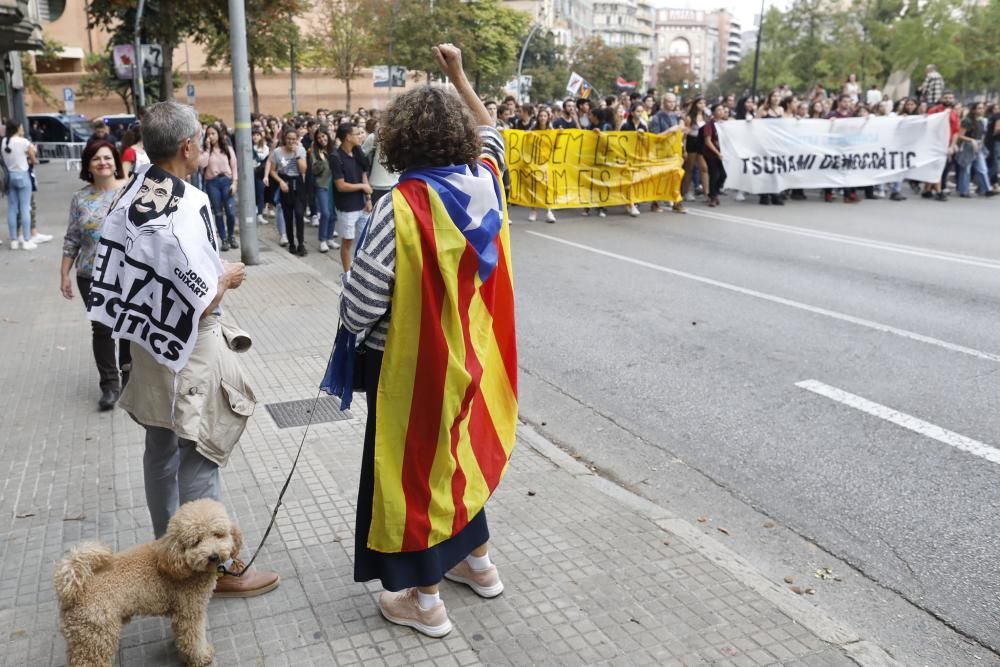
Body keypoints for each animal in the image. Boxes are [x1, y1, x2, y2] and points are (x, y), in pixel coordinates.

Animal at [53, 498, 242, 664]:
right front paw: (201, 657)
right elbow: (193, 639)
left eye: (218, 534)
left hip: (83, 639)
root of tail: (72, 589)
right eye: (196, 542)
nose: (213, 556)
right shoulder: (189, 611)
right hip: (96, 636)